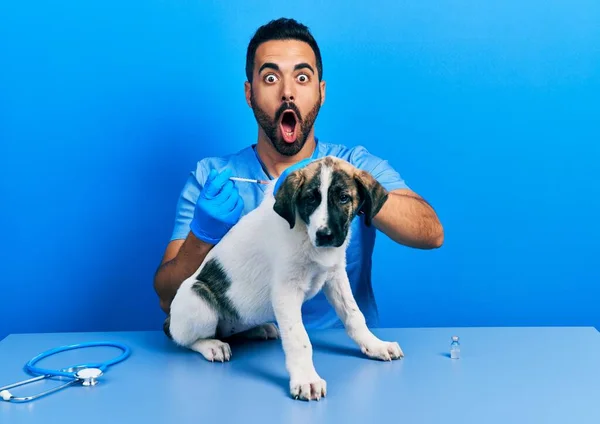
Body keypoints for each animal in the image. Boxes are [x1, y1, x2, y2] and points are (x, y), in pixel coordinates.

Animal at [164, 157, 404, 400]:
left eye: (344, 197)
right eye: (310, 199)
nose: (324, 235)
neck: (305, 233)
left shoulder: (335, 276)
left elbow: (354, 315)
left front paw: (375, 345)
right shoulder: (286, 291)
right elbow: (299, 339)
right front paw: (306, 379)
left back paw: (259, 329)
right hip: (197, 298)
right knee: (183, 338)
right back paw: (212, 345)